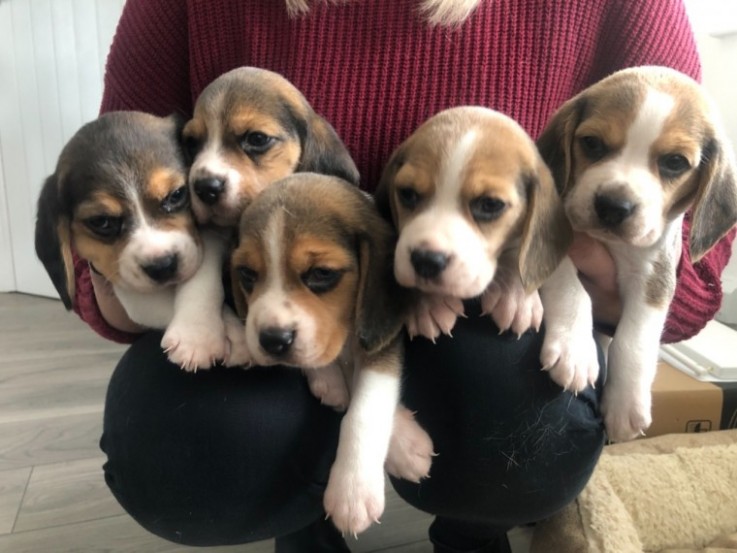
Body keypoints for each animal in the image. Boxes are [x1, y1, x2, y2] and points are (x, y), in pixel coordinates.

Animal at [35, 111, 247, 370]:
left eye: (176, 195)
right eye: (102, 222)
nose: (163, 266)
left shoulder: (211, 235)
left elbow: (202, 275)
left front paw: (200, 333)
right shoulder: (119, 279)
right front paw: (214, 335)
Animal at [233, 172, 434, 536]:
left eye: (321, 274)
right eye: (247, 274)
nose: (273, 341)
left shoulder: (378, 337)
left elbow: (365, 407)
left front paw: (352, 489)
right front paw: (330, 381)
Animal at [536, 64, 736, 442]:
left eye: (675, 162)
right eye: (592, 143)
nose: (613, 206)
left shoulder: (654, 272)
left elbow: (635, 336)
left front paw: (625, 401)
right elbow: (572, 289)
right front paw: (575, 349)